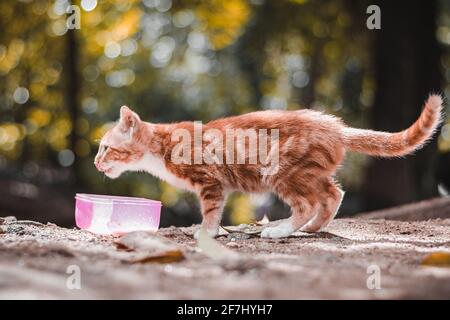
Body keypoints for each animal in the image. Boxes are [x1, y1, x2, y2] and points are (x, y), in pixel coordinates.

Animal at [94, 94, 442, 239]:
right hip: (311, 172)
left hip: (280, 171)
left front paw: (207, 232)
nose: (96, 162)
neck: (162, 146)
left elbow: (211, 210)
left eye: (106, 147)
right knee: (333, 193)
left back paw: (281, 230)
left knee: (308, 203)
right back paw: (312, 228)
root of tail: (335, 126)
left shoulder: (210, 181)